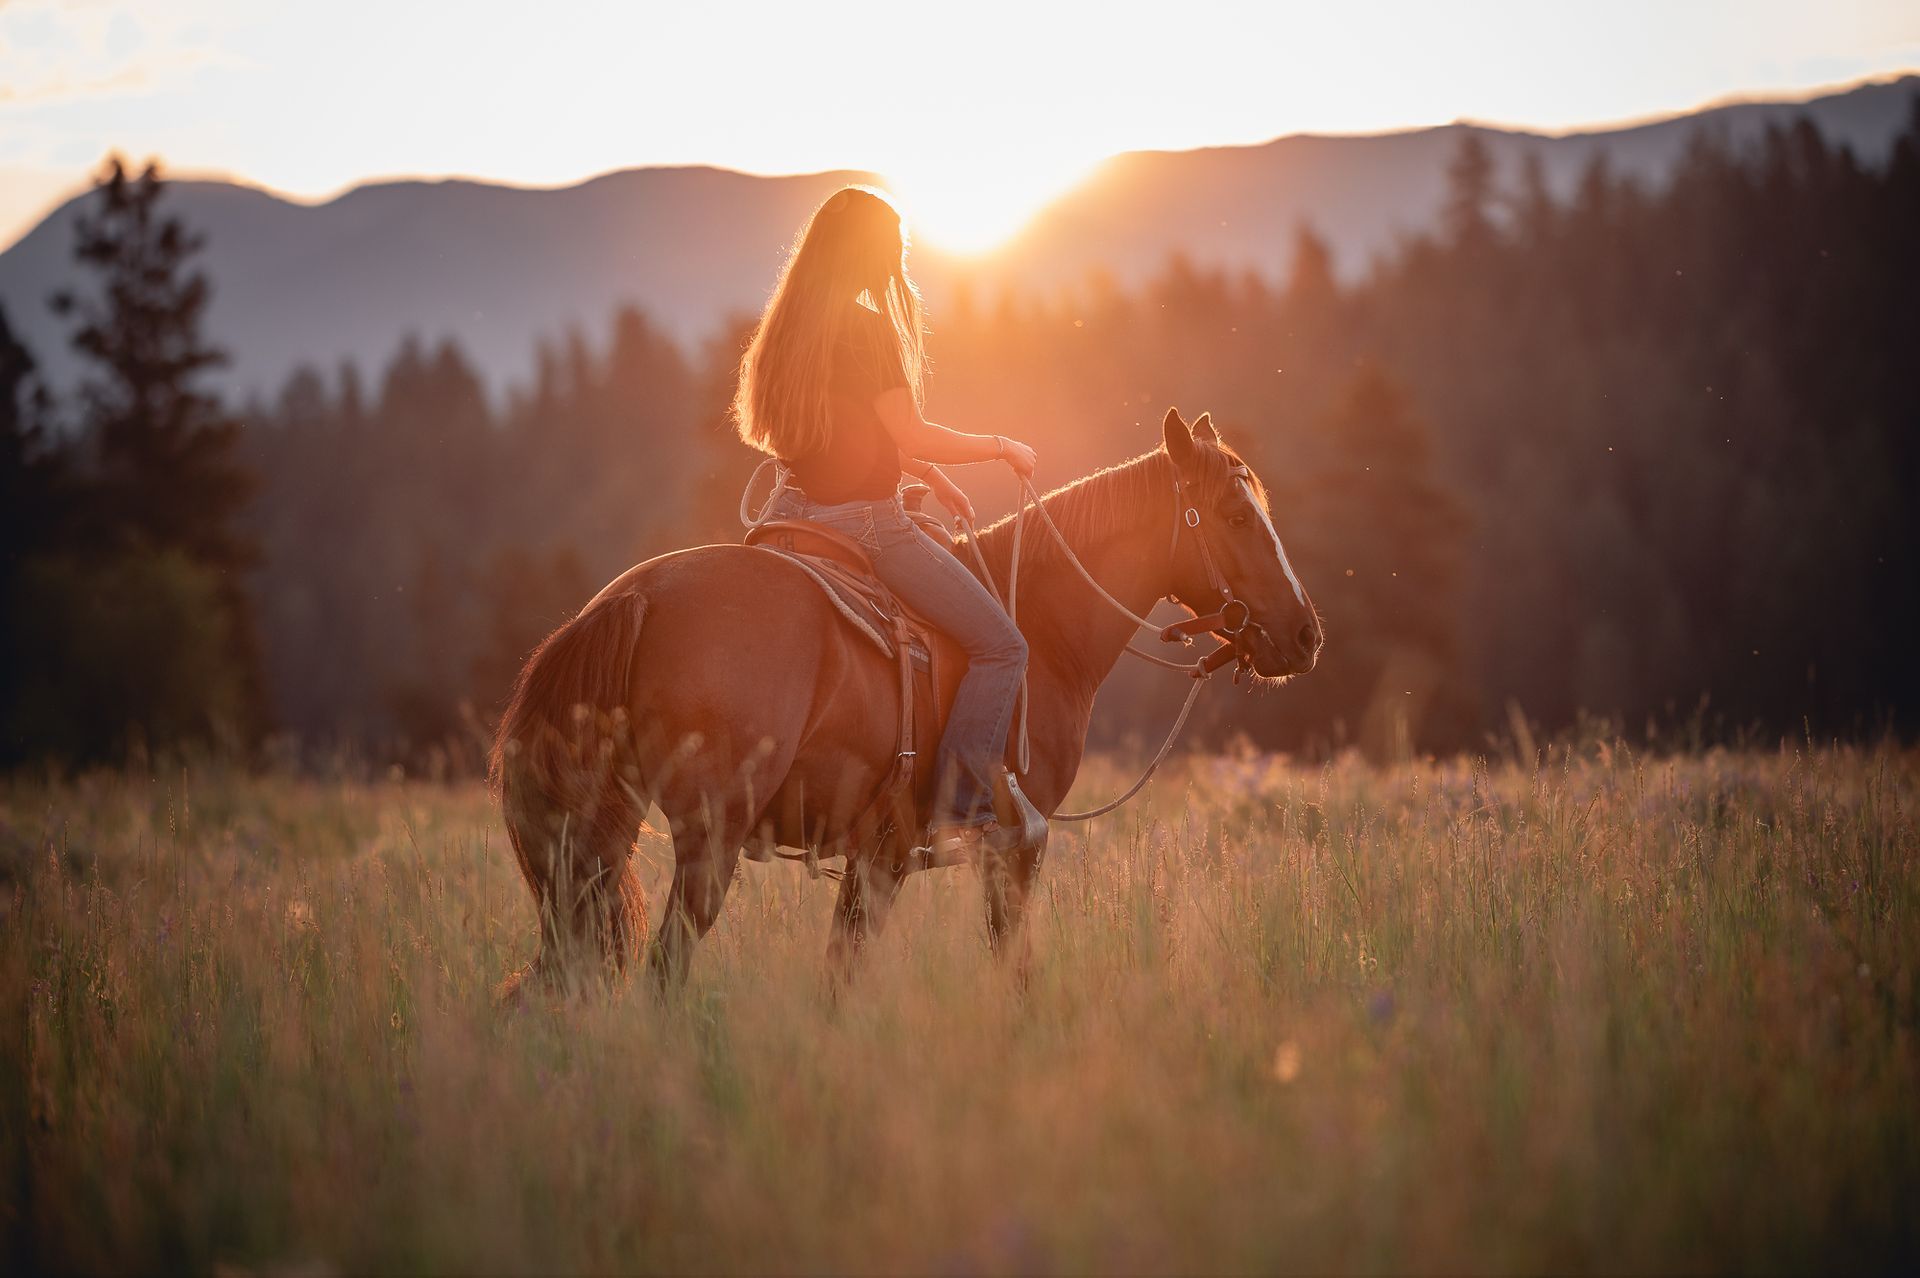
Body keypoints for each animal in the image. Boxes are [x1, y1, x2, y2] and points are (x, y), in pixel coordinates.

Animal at [490, 408, 1322, 996]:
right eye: (1237, 516)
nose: (1305, 634)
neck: (1041, 627)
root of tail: (633, 598)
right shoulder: (1011, 847)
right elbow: (1014, 969)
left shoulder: (878, 858)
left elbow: (840, 979)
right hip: (709, 838)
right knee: (664, 971)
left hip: (593, 844)